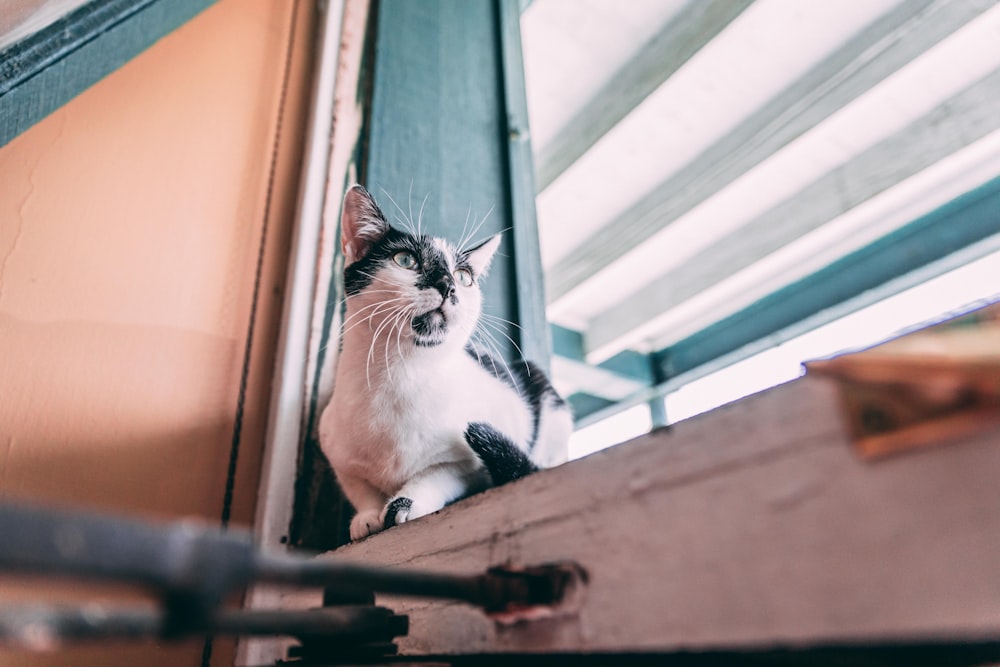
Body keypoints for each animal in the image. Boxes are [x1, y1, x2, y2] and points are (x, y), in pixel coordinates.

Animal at [320, 185, 572, 540]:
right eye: (406, 260)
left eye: (464, 277)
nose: (448, 285)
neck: (397, 374)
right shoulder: (335, 451)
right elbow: (359, 487)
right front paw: (367, 516)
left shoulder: (468, 458)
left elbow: (438, 475)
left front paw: (405, 504)